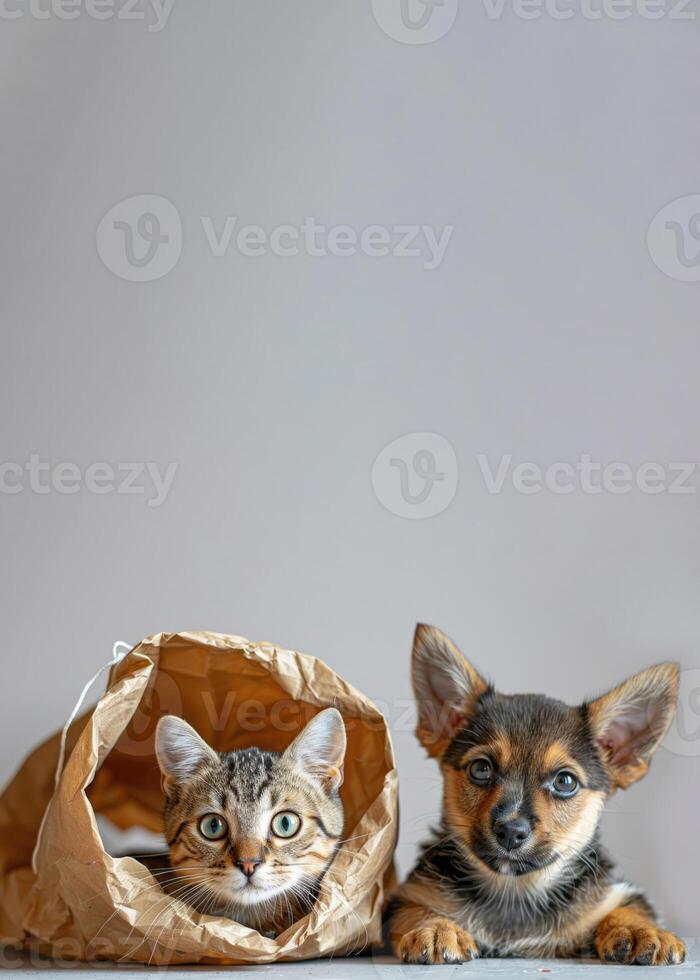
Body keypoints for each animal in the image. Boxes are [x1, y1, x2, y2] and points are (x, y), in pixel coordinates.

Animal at [386, 624, 688, 968]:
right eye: (480, 769)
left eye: (565, 781)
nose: (510, 831)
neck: (514, 888)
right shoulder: (407, 897)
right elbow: (417, 910)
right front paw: (435, 928)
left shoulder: (617, 895)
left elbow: (627, 908)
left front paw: (643, 932)